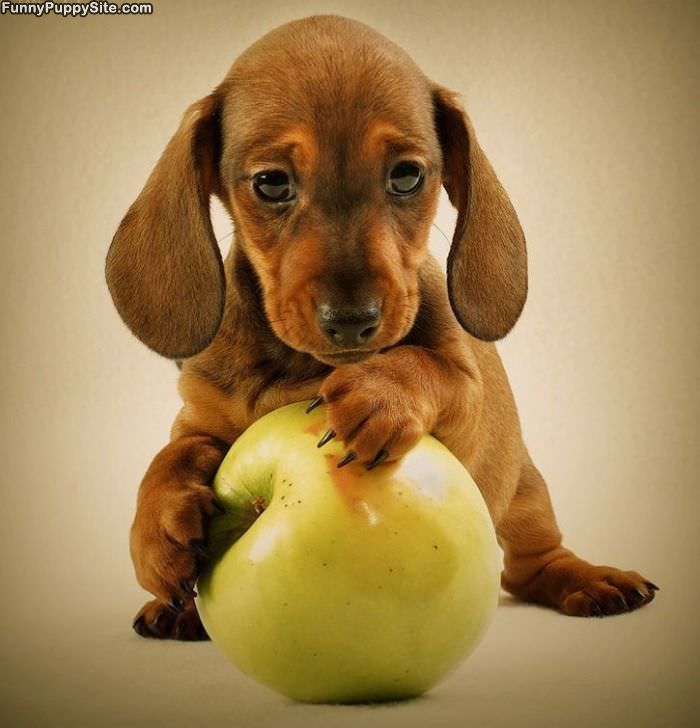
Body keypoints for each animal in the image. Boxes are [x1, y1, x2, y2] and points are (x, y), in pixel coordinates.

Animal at [106, 15, 660, 644]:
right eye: (271, 183)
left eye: (407, 176)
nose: (352, 323)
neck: (299, 368)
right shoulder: (199, 416)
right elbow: (172, 454)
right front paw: (155, 529)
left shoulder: (464, 407)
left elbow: (430, 366)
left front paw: (380, 393)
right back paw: (179, 611)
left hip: (524, 494)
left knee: (531, 564)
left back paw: (589, 578)